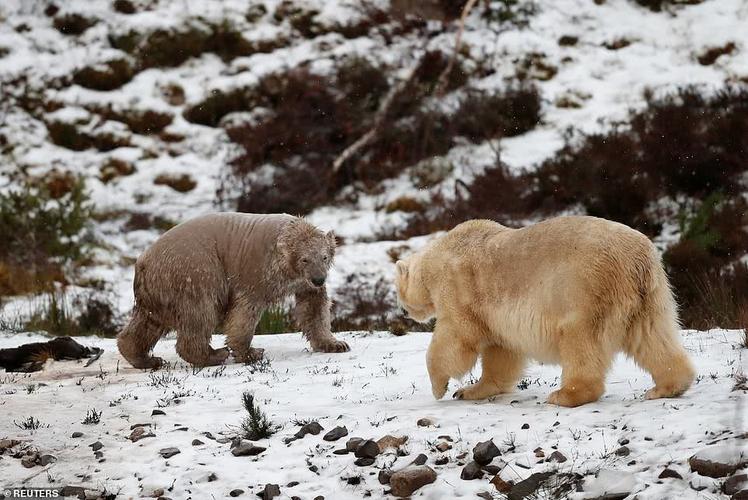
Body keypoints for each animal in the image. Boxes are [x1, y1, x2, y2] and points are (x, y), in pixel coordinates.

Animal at [117, 212, 350, 369]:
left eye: (324, 257)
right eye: (305, 259)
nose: (318, 279)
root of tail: (142, 263)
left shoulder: (301, 282)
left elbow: (314, 306)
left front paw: (336, 344)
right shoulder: (256, 271)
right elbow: (245, 311)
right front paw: (251, 352)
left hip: (158, 290)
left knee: (148, 321)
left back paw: (146, 358)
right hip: (195, 272)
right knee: (200, 313)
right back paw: (213, 355)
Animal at [395, 216, 695, 407]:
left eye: (397, 291)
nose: (404, 313)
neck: (439, 255)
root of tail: (638, 260)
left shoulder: (457, 287)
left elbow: (455, 338)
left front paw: (440, 388)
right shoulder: (496, 314)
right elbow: (500, 351)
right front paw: (471, 390)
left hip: (584, 290)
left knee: (581, 341)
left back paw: (565, 395)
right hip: (649, 296)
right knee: (652, 335)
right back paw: (667, 386)